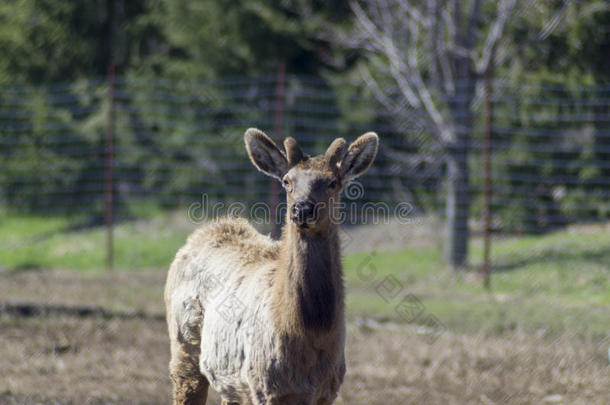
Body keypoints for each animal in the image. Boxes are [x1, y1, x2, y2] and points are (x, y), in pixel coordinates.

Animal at [164, 128, 378, 402]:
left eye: (333, 182)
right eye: (287, 181)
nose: (302, 208)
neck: (310, 333)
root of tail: (200, 235)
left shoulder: (328, 391)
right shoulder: (264, 387)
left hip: (231, 384)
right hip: (184, 348)